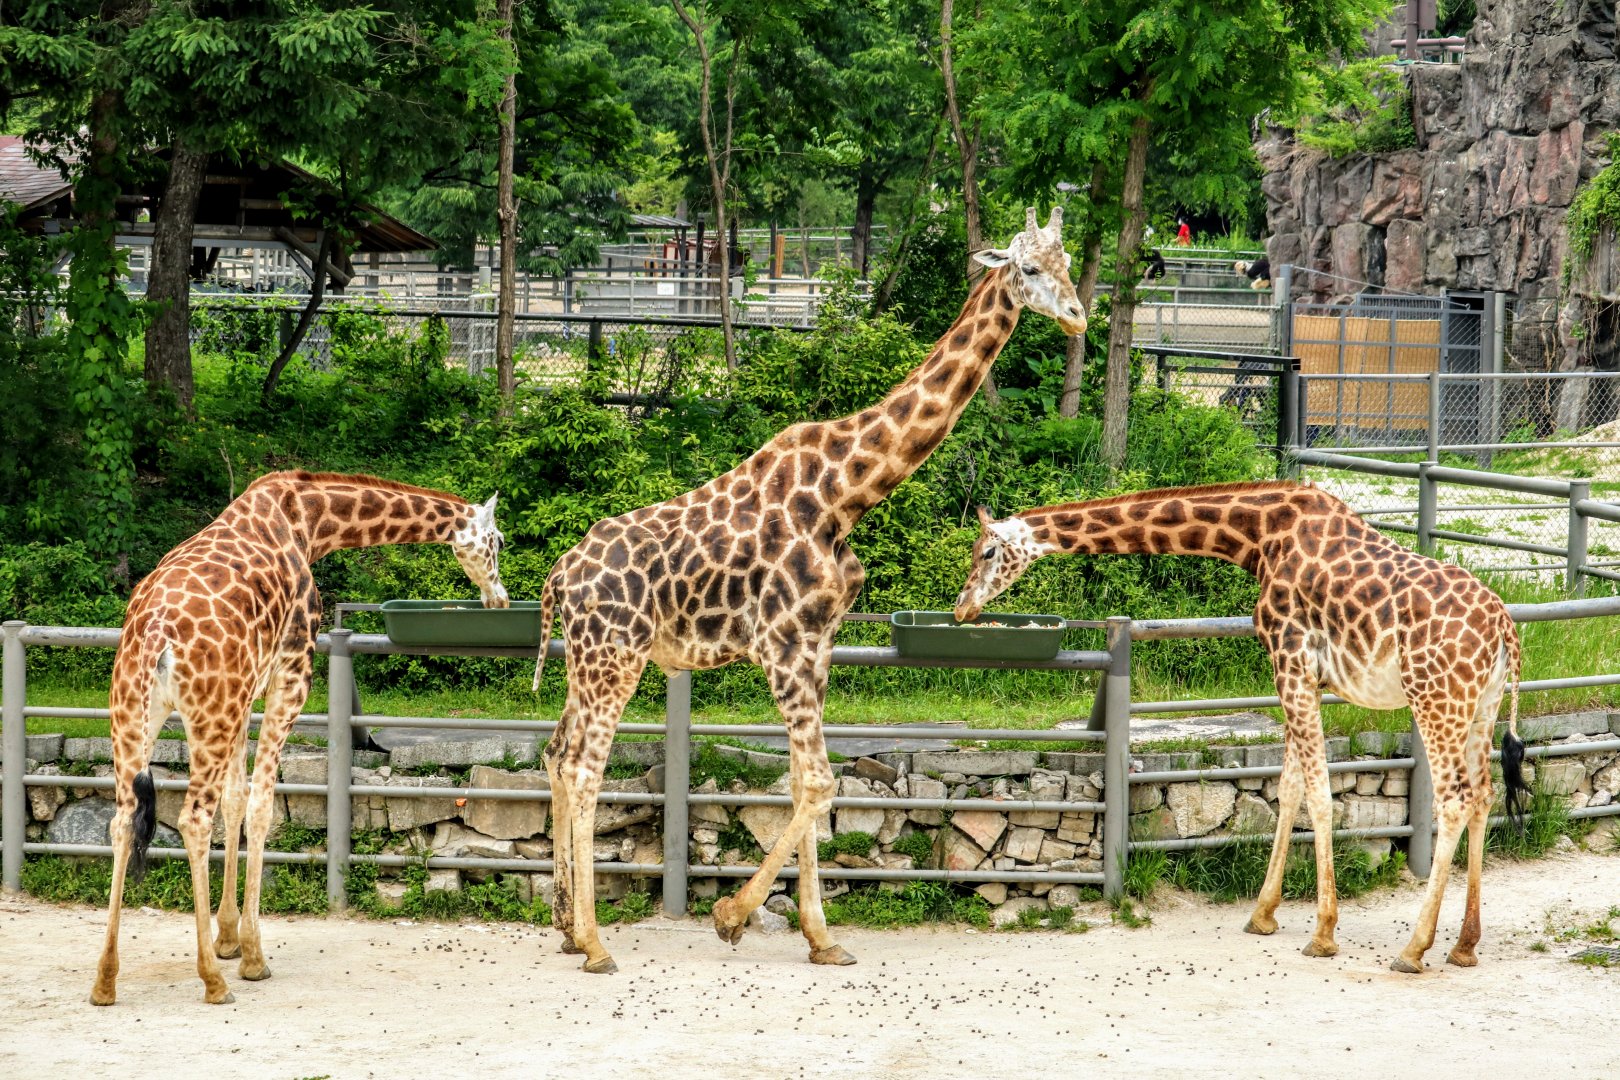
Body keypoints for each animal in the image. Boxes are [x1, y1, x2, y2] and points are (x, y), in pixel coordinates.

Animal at [91, 471, 508, 1006]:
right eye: (498, 542)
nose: (500, 598)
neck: (309, 522)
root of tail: (155, 636)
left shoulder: (244, 695)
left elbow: (236, 800)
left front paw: (228, 936)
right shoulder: (291, 674)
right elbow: (261, 806)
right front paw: (250, 956)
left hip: (139, 712)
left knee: (123, 820)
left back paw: (105, 980)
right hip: (205, 709)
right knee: (192, 819)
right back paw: (212, 981)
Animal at [532, 207, 1085, 974]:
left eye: (1070, 264)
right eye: (1028, 268)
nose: (1078, 317)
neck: (844, 495)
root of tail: (561, 575)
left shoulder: (819, 643)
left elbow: (806, 782)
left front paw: (821, 938)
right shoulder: (784, 645)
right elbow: (821, 782)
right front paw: (731, 916)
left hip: (585, 661)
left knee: (557, 756)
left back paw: (562, 924)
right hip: (617, 656)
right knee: (586, 769)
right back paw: (594, 943)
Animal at [951, 481, 1531, 973]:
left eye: (986, 553)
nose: (961, 608)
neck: (1259, 537)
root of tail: (1505, 626)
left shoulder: (1289, 660)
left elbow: (1319, 794)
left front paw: (1323, 933)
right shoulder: (1304, 675)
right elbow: (1290, 787)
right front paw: (1263, 913)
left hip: (1435, 698)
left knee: (1453, 799)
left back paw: (1414, 948)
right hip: (1479, 704)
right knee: (1482, 795)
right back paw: (1464, 945)